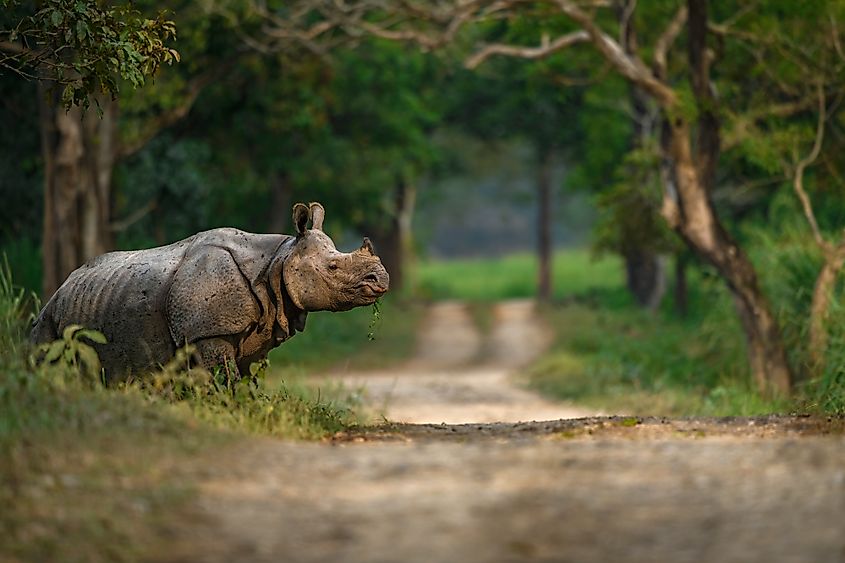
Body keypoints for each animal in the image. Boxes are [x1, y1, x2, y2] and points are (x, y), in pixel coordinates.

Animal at [30, 202, 389, 380]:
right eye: (333, 267)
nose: (382, 280)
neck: (278, 261)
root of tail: (61, 288)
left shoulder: (257, 329)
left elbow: (246, 380)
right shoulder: (208, 332)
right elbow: (224, 379)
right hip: (49, 318)